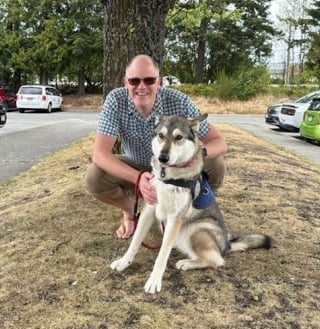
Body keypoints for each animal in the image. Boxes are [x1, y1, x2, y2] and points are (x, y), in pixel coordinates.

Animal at [110, 113, 272, 292]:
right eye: (161, 135)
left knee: (217, 261)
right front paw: (124, 262)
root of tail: (226, 245)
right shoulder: (150, 209)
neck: (168, 177)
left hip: (194, 230)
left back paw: (187, 263)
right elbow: (135, 241)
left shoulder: (175, 219)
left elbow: (162, 255)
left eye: (178, 137)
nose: (162, 157)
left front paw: (154, 280)